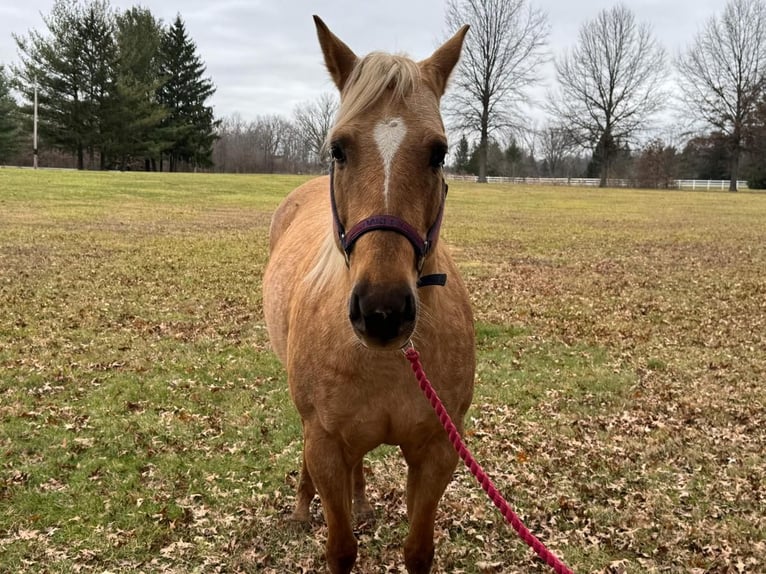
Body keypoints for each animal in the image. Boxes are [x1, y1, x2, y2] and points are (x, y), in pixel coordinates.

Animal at [268, 15, 476, 572]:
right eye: (338, 149)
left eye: (438, 153)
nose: (382, 312)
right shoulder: (324, 443)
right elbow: (340, 549)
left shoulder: (438, 451)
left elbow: (418, 550)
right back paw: (302, 507)